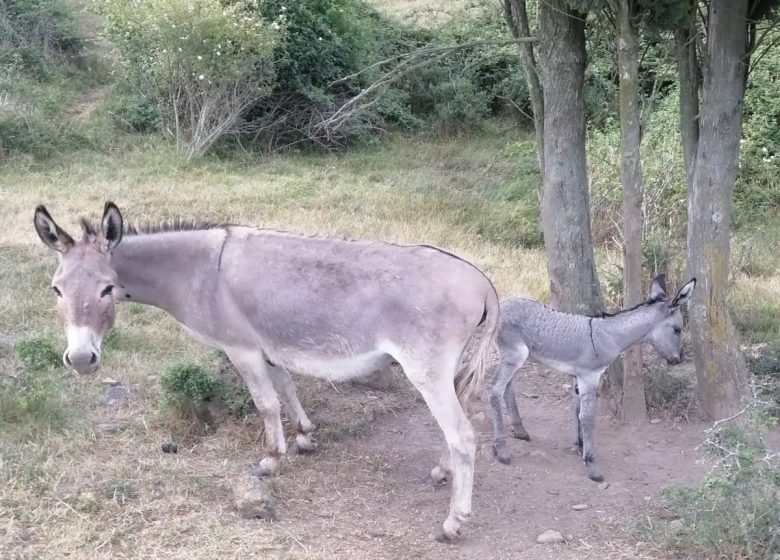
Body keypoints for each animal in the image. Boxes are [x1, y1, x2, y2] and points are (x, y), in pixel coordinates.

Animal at [490, 276, 696, 482]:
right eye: (677, 330)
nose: (678, 360)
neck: (609, 336)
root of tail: (503, 303)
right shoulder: (588, 376)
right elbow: (587, 417)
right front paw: (591, 464)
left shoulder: (578, 378)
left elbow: (577, 410)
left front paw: (580, 444)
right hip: (514, 355)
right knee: (495, 390)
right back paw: (501, 450)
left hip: (519, 358)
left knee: (508, 388)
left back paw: (520, 431)